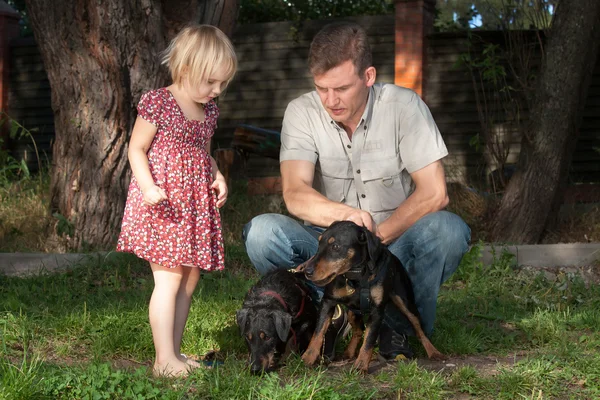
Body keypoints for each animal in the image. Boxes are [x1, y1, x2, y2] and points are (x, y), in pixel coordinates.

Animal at [298, 220, 442, 374]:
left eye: (335, 246)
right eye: (319, 244)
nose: (307, 271)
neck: (356, 276)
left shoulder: (376, 311)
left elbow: (369, 339)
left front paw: (361, 366)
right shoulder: (328, 302)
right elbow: (318, 333)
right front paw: (307, 358)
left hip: (406, 302)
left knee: (419, 328)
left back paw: (434, 353)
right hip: (353, 312)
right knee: (358, 330)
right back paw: (348, 353)